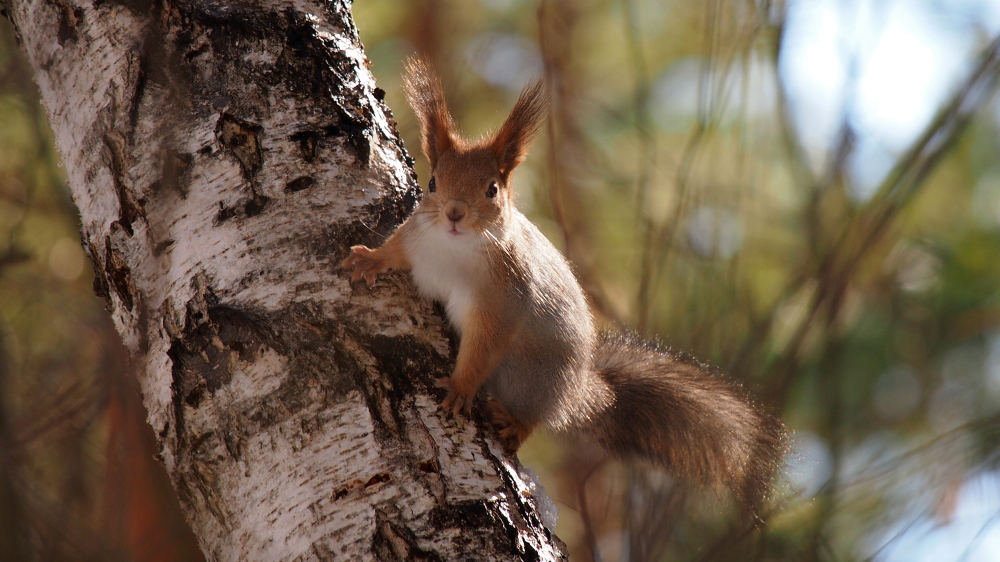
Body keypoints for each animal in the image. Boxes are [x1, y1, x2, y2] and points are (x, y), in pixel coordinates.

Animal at [340, 58, 784, 512]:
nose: (454, 213)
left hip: (530, 377)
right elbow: (396, 250)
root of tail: (581, 391)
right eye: (432, 183)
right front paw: (370, 258)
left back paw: (515, 424)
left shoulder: (506, 297)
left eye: (492, 189)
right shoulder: (417, 240)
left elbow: (485, 344)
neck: (455, 251)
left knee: (533, 418)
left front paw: (461, 388)